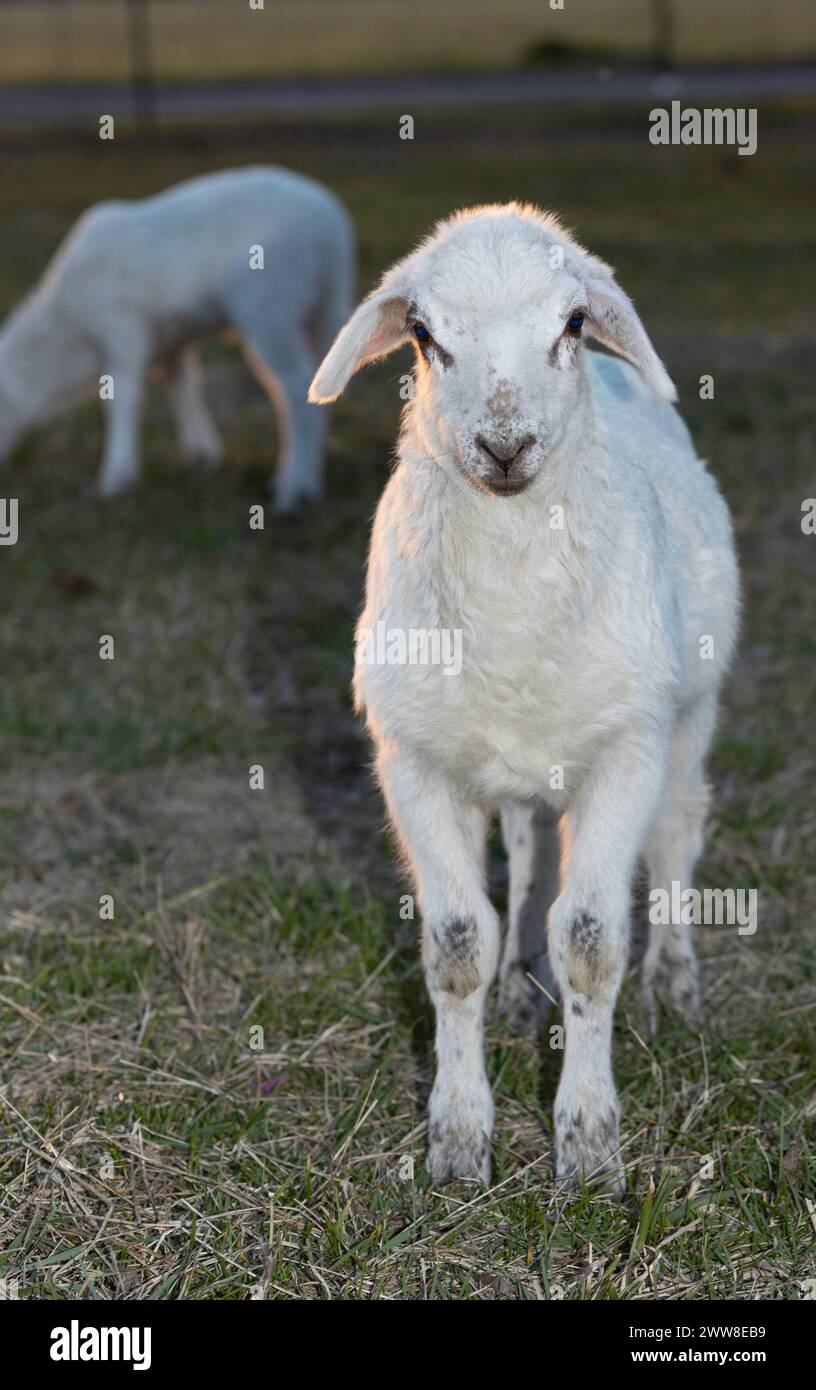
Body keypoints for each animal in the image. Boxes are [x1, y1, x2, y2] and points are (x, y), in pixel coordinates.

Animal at [0, 165, 354, 508]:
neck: (69, 332)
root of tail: (332, 231)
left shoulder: (123, 330)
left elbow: (123, 399)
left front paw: (117, 478)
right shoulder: (172, 341)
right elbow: (182, 387)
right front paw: (202, 455)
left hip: (270, 308)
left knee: (294, 387)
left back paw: (294, 490)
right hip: (323, 312)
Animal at [308, 205, 739, 1195]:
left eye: (573, 323)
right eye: (422, 335)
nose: (505, 447)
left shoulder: (625, 751)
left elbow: (591, 941)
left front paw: (588, 1150)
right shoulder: (415, 762)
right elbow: (457, 944)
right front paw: (459, 1143)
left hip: (685, 718)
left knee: (676, 836)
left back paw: (675, 985)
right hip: (514, 765)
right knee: (530, 852)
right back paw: (517, 984)